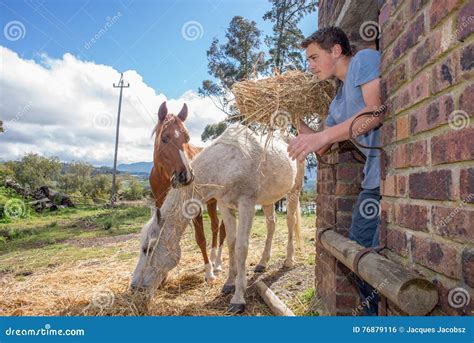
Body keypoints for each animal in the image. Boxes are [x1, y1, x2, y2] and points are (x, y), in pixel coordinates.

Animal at [131, 125, 306, 314]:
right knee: (271, 224)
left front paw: (238, 298)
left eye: (148, 249)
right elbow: (231, 243)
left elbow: (241, 247)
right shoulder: (224, 206)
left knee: (290, 221)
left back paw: (289, 260)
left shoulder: (247, 205)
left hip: (294, 191)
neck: (224, 165)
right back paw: (262, 263)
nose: (134, 287)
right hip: (268, 200)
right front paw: (229, 283)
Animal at [149, 101, 225, 284]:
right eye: (164, 138)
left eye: (187, 138)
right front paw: (162, 277)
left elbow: (200, 238)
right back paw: (213, 259)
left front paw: (208, 272)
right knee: (215, 226)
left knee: (223, 229)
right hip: (212, 202)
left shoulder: (194, 207)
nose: (186, 176)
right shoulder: (160, 205)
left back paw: (217, 264)